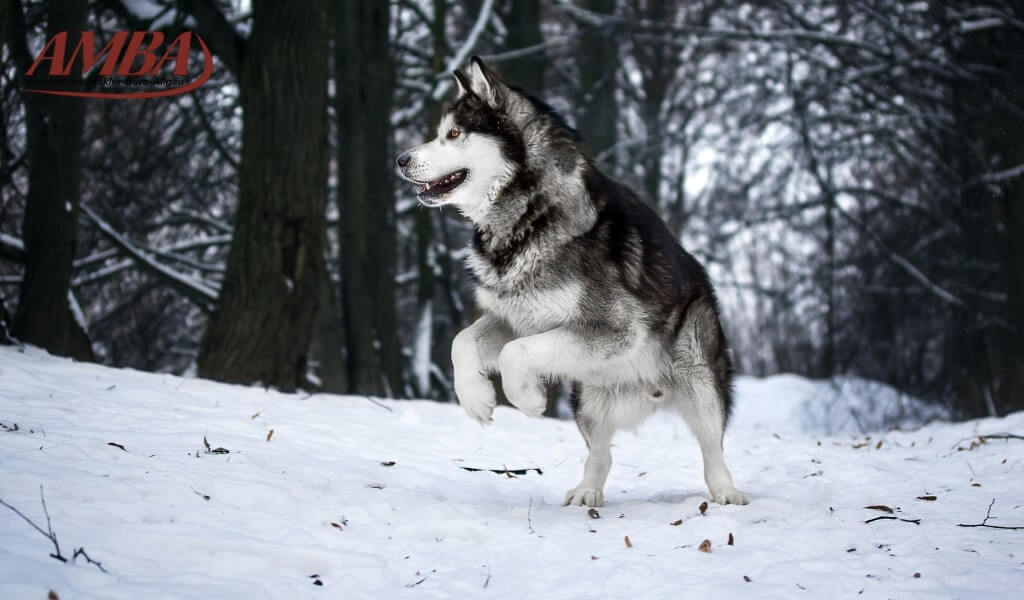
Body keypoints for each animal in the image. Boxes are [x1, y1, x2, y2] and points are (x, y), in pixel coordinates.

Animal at [395, 57, 749, 503]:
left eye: (454, 134)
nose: (400, 159)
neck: (530, 216)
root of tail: (651, 391)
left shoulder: (614, 328)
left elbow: (514, 354)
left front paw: (528, 400)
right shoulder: (516, 318)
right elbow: (462, 343)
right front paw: (476, 399)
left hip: (697, 376)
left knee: (712, 448)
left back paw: (725, 492)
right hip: (588, 399)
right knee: (601, 454)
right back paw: (586, 493)